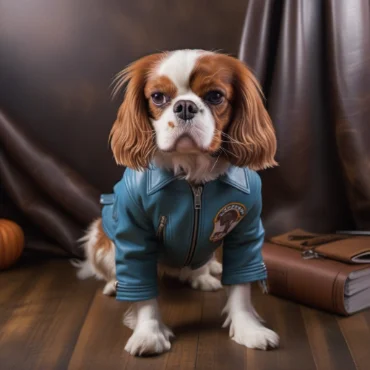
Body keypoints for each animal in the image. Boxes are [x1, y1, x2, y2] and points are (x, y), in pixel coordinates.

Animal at [73, 49, 278, 356]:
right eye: (158, 97)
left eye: (215, 96)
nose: (185, 107)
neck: (193, 179)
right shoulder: (134, 237)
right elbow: (143, 292)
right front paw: (148, 334)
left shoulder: (246, 232)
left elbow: (242, 286)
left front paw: (249, 330)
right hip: (98, 235)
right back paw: (114, 283)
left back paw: (204, 274)